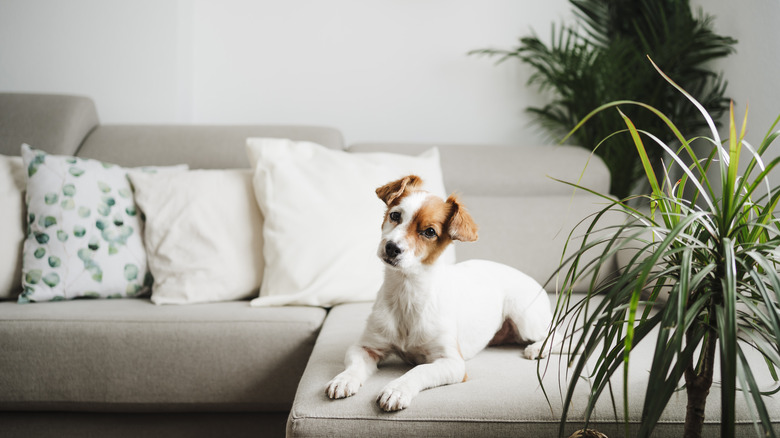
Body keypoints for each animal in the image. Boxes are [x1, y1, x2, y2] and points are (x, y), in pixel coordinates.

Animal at [326, 174, 552, 410]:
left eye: (429, 232)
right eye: (395, 215)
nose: (392, 247)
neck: (407, 293)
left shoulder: (452, 363)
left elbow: (419, 370)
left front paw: (397, 389)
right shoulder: (365, 347)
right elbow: (354, 365)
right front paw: (344, 379)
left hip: (525, 319)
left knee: (556, 332)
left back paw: (538, 349)